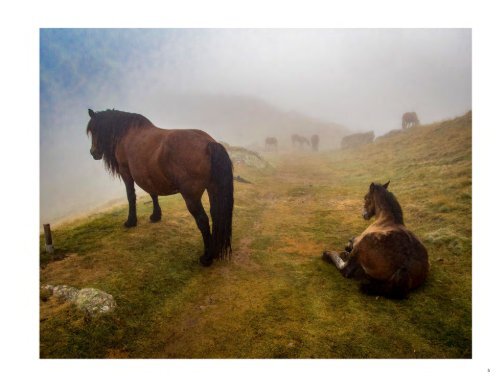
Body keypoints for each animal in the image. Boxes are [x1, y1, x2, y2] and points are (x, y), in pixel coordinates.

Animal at [86, 108, 234, 266]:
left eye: (95, 129)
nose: (93, 152)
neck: (127, 133)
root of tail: (208, 143)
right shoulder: (149, 176)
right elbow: (153, 193)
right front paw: (156, 215)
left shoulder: (126, 173)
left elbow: (131, 196)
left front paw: (131, 221)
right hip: (213, 189)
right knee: (215, 215)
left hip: (191, 197)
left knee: (203, 221)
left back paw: (207, 257)